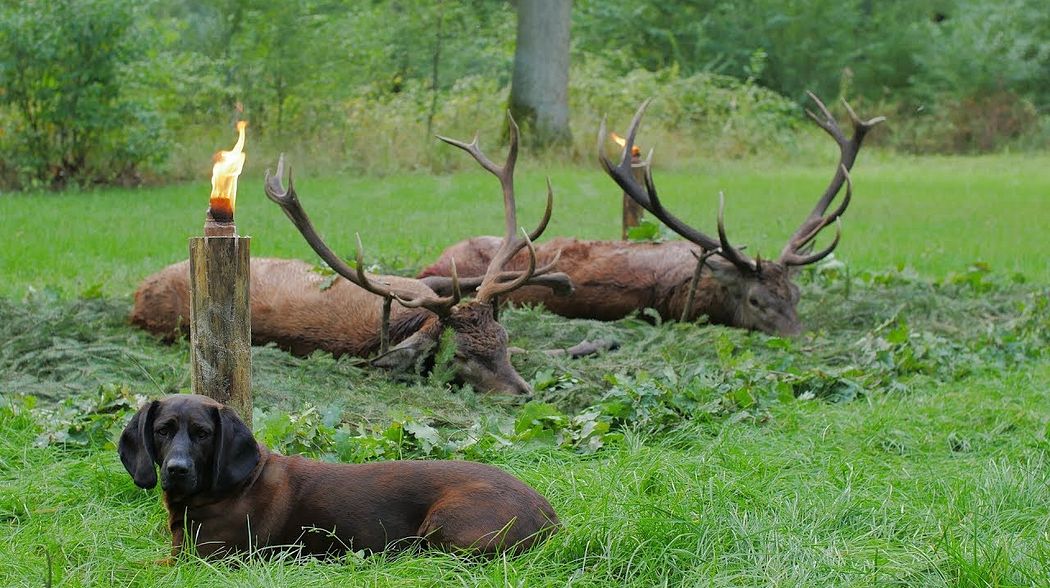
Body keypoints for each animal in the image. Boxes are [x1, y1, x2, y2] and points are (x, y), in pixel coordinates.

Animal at [118, 394, 558, 554]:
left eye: (203, 434)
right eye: (163, 430)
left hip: (445, 527)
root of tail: (551, 517)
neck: (228, 487)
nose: (176, 470)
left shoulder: (203, 560)